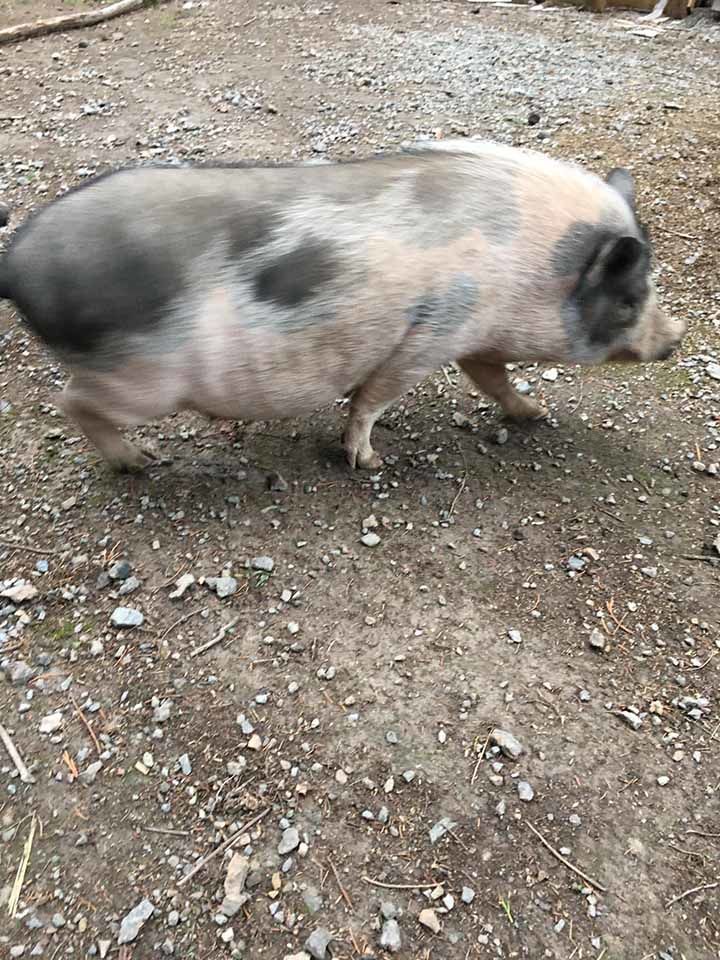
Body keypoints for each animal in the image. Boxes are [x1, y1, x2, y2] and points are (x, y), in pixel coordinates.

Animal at [0, 140, 685, 473]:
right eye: (629, 296)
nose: (676, 338)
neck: (535, 265)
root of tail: (16, 261)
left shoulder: (473, 333)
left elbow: (493, 377)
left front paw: (536, 414)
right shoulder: (432, 332)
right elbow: (376, 395)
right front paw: (369, 462)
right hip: (140, 378)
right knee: (70, 402)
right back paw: (142, 464)